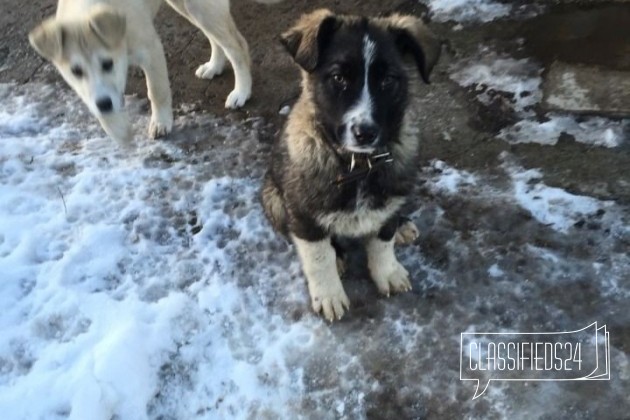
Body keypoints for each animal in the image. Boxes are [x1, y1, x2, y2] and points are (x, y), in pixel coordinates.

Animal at [29, 0, 282, 146]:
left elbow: (156, 91)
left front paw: (160, 123)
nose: (105, 104)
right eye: (76, 71)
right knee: (214, 37)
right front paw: (120, 132)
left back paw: (241, 91)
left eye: (108, 64)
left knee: (237, 46)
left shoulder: (151, 51)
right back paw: (214, 66)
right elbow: (99, 106)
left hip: (202, 8)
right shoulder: (85, 88)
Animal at [262, 9, 440, 320]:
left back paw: (402, 225)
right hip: (273, 198)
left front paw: (387, 272)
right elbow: (318, 257)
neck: (357, 165)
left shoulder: (387, 202)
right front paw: (329, 294)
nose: (364, 132)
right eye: (338, 78)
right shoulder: (304, 214)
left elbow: (382, 240)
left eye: (388, 80)